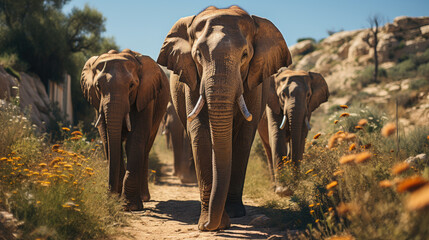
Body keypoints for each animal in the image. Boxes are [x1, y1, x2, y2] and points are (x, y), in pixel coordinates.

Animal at [80, 48, 169, 210]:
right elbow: (107, 140)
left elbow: (136, 139)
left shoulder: (145, 97)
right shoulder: (98, 103)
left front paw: (130, 207)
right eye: (98, 87)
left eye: (132, 85)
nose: (109, 197)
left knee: (145, 148)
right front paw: (118, 202)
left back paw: (144, 198)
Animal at [156, 5, 290, 231]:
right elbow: (200, 134)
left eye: (245, 55)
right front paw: (209, 223)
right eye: (198, 55)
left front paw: (233, 215)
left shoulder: (253, 82)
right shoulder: (193, 79)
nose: (209, 224)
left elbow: (243, 138)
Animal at [256, 67, 330, 195]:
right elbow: (276, 134)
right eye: (282, 95)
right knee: (268, 149)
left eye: (308, 95)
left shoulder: (307, 109)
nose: (291, 186)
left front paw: (293, 187)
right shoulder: (272, 104)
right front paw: (283, 191)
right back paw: (273, 187)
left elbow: (300, 136)